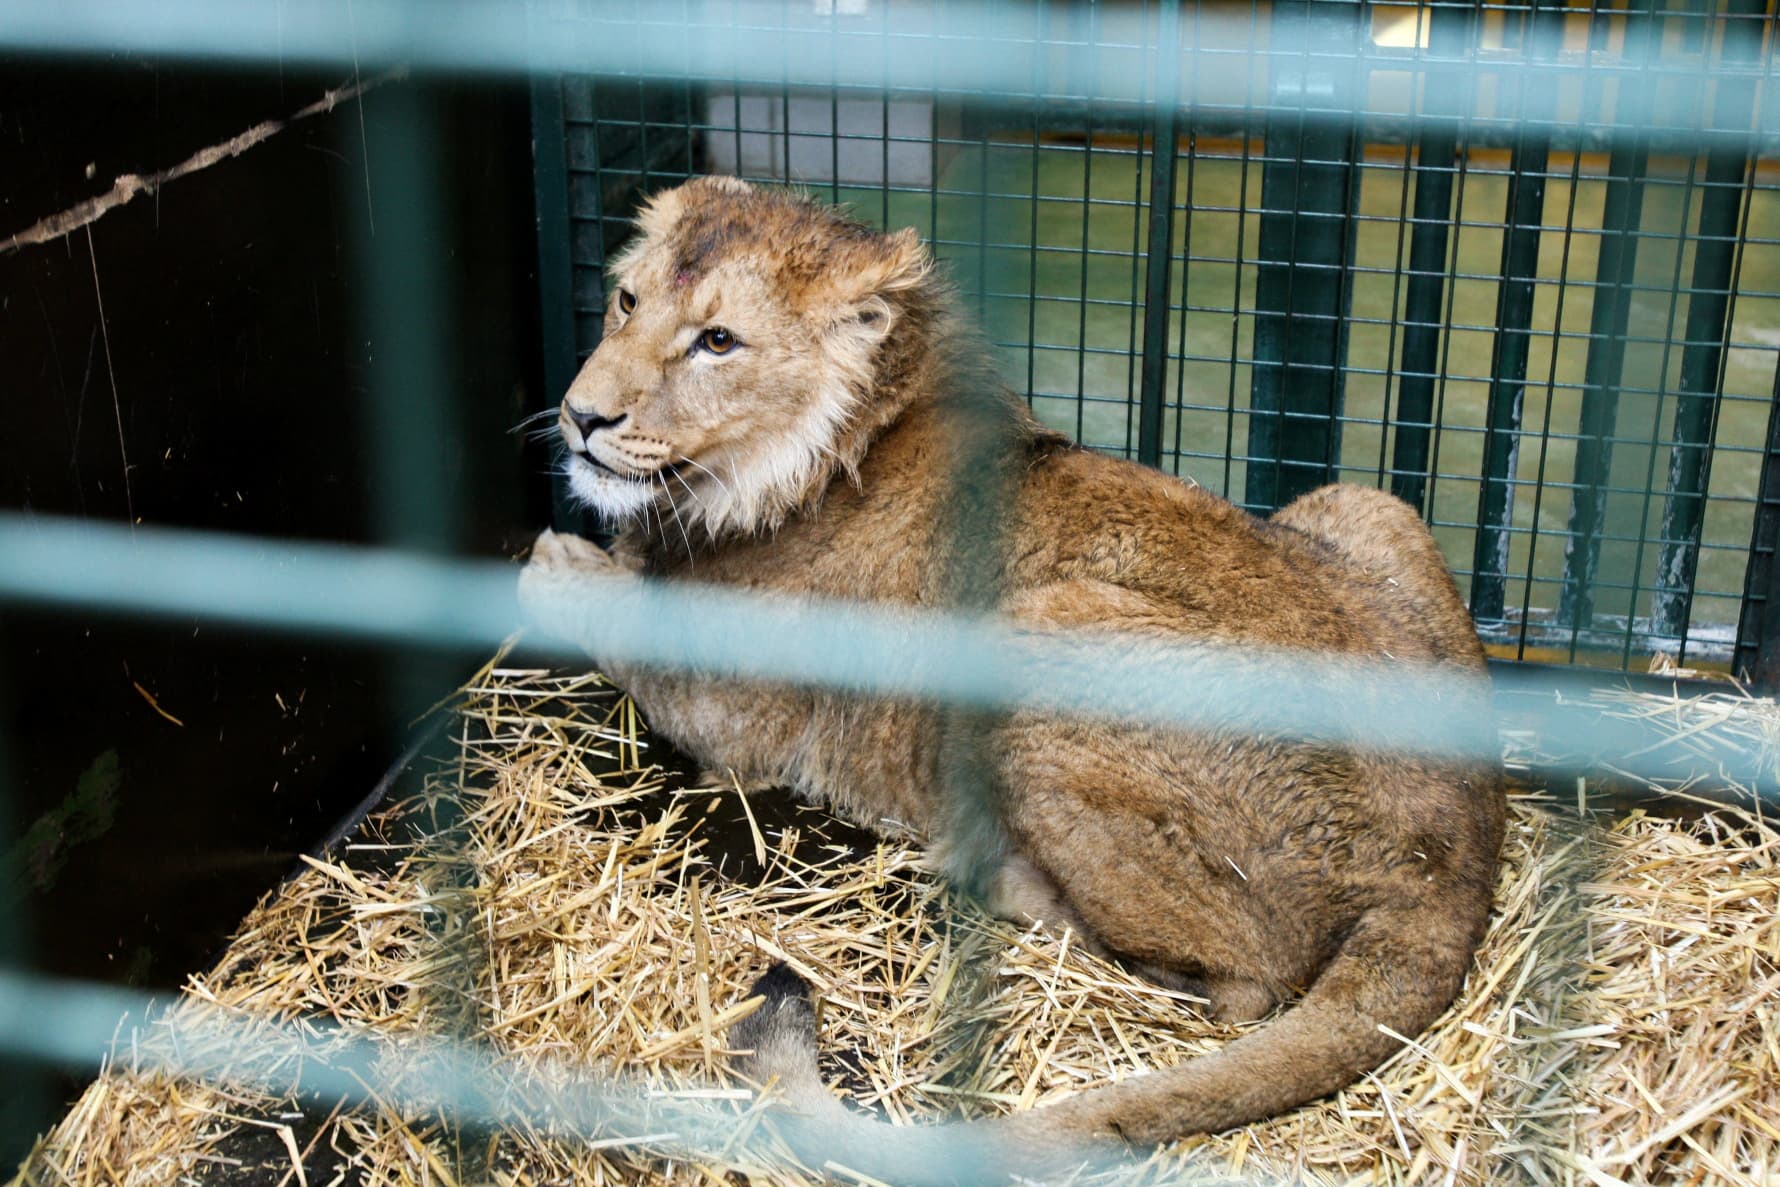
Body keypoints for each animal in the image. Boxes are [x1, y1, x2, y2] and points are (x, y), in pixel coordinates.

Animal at [519, 175, 1504, 1183]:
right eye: (627, 300)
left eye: (718, 341)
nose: (581, 416)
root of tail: (1458, 858)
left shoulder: (732, 720)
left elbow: (617, 614)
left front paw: (555, 562)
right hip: (1367, 503)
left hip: (1038, 633)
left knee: (1237, 987)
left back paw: (988, 870)